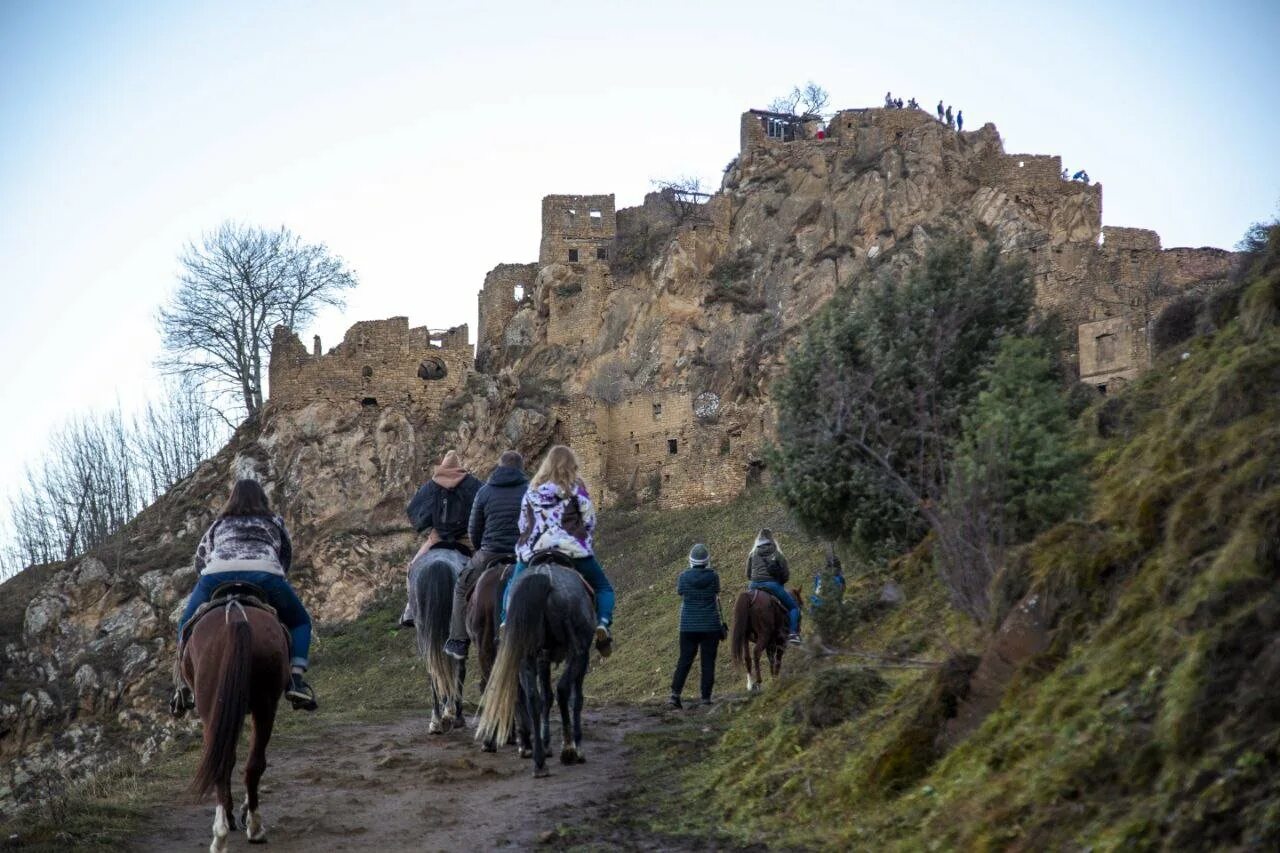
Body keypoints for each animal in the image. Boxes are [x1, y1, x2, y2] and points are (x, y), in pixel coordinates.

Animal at [181, 591, 289, 850]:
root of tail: (237, 615)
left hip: (215, 710)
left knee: (227, 764)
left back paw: (225, 832)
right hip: (264, 706)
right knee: (253, 764)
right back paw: (250, 827)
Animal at [407, 540, 468, 727]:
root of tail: (438, 566)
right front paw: (452, 711)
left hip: (423, 631)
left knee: (433, 670)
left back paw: (436, 719)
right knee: (452, 667)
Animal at [478, 555, 596, 773]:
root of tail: (546, 579)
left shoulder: (542, 658)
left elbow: (545, 697)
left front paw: (545, 743)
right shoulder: (580, 656)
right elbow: (575, 698)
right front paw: (576, 747)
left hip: (524, 655)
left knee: (532, 698)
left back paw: (538, 760)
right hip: (577, 651)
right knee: (562, 689)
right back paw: (568, 749)